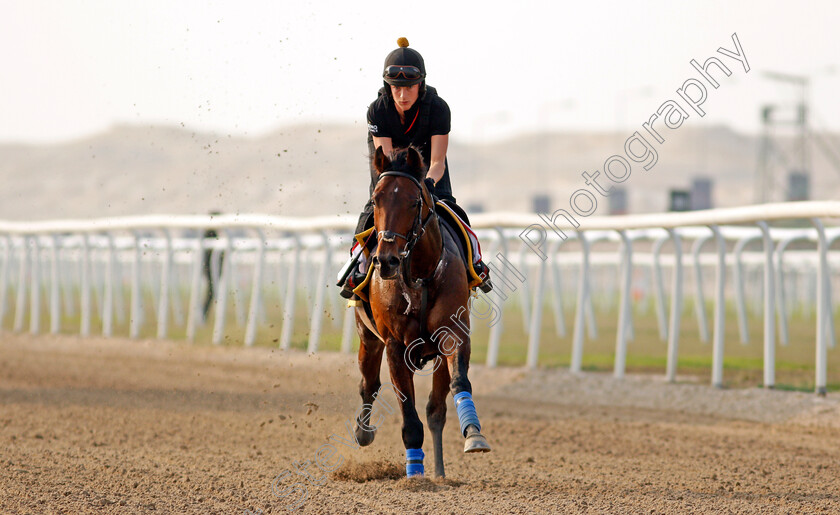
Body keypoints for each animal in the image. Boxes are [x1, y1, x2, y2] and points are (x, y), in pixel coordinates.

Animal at [350, 146, 492, 480]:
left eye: (414, 202)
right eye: (376, 199)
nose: (386, 260)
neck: (419, 276)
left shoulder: (453, 333)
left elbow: (457, 385)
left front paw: (473, 433)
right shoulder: (394, 345)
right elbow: (408, 414)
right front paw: (414, 474)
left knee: (435, 409)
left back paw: (439, 471)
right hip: (367, 337)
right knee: (368, 385)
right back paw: (363, 432)